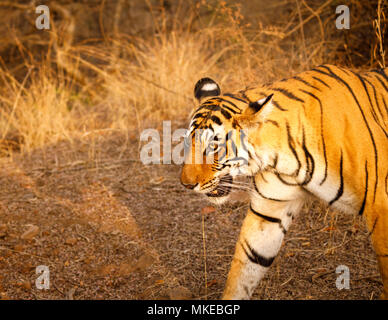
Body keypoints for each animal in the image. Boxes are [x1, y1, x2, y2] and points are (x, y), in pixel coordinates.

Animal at [180, 64, 388, 300]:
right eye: (187, 143)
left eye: (213, 147)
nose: (186, 184)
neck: (282, 155)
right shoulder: (269, 211)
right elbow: (246, 266)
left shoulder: (380, 205)